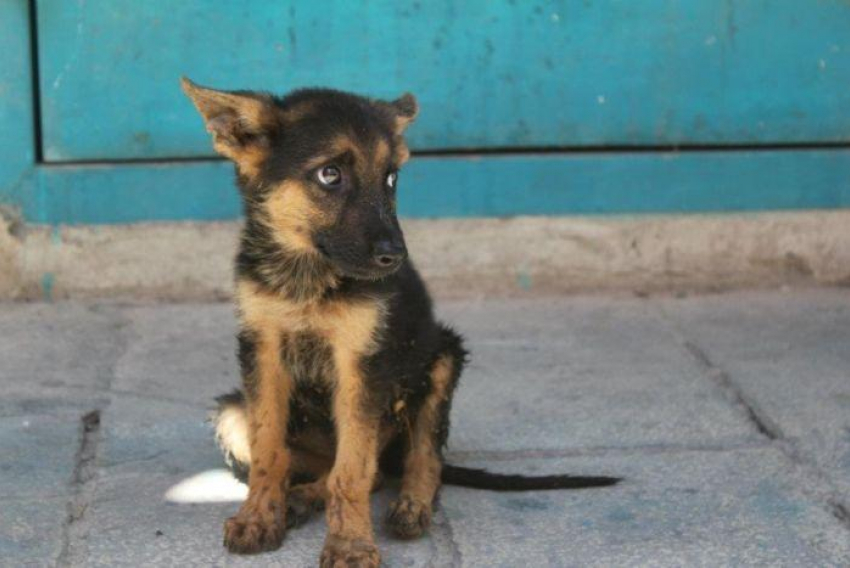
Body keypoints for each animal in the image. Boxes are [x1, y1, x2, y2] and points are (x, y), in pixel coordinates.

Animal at [182, 76, 616, 568]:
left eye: (391, 178)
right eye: (330, 174)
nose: (397, 257)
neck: (307, 275)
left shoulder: (361, 363)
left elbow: (352, 472)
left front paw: (350, 544)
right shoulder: (262, 348)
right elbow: (269, 450)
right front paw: (258, 518)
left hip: (441, 359)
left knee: (414, 461)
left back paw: (409, 505)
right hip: (232, 411)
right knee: (335, 468)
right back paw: (300, 498)